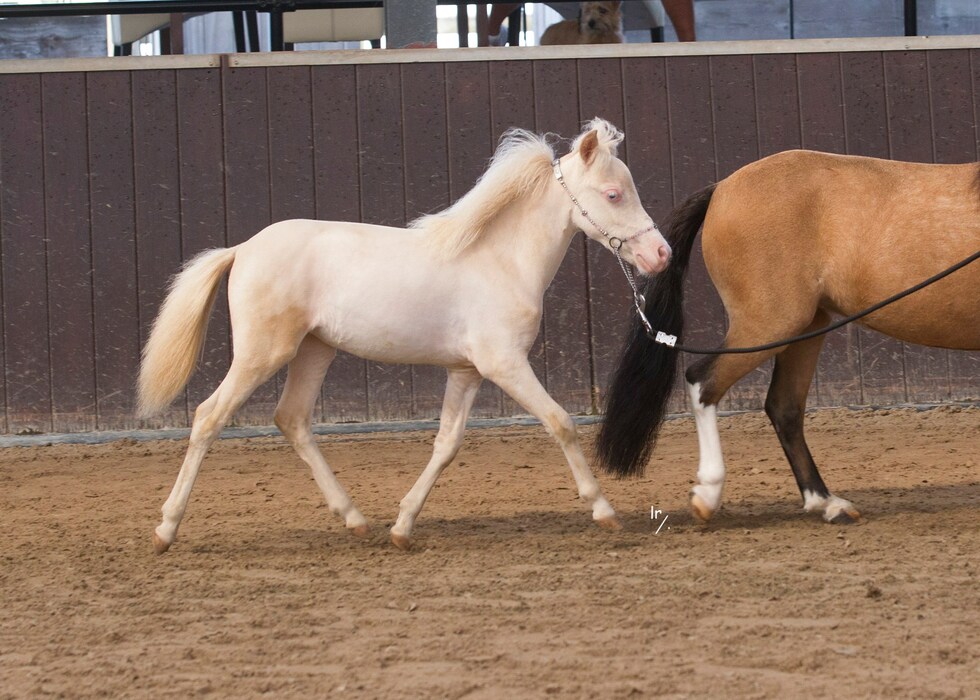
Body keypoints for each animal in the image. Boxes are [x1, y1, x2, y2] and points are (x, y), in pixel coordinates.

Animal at [140, 118, 672, 553]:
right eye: (613, 194)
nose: (661, 254)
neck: (500, 260)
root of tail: (242, 249)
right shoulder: (504, 364)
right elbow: (560, 422)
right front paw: (604, 510)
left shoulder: (467, 371)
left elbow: (446, 444)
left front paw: (402, 526)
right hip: (261, 353)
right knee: (209, 417)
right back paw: (166, 530)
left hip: (314, 350)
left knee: (292, 420)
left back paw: (355, 520)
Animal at [595, 150, 980, 524]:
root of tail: (722, 188)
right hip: (770, 324)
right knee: (703, 382)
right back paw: (707, 495)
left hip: (807, 327)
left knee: (784, 407)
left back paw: (826, 503)